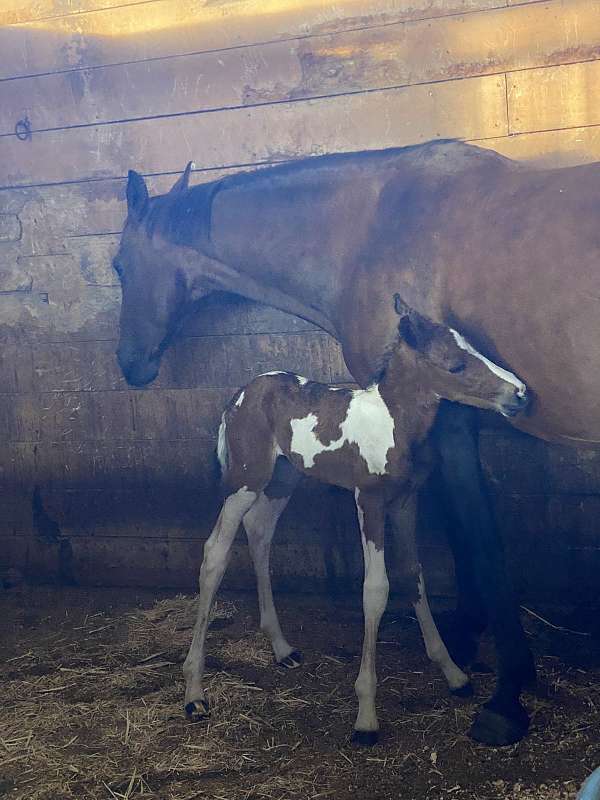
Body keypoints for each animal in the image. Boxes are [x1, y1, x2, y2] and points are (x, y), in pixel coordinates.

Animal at [182, 300, 524, 744]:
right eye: (456, 365)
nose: (520, 394)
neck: (394, 423)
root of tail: (237, 396)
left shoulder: (405, 501)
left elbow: (413, 573)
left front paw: (453, 673)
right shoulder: (369, 500)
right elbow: (375, 590)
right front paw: (366, 716)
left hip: (283, 479)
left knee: (260, 533)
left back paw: (282, 649)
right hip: (245, 480)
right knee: (215, 554)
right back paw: (194, 692)